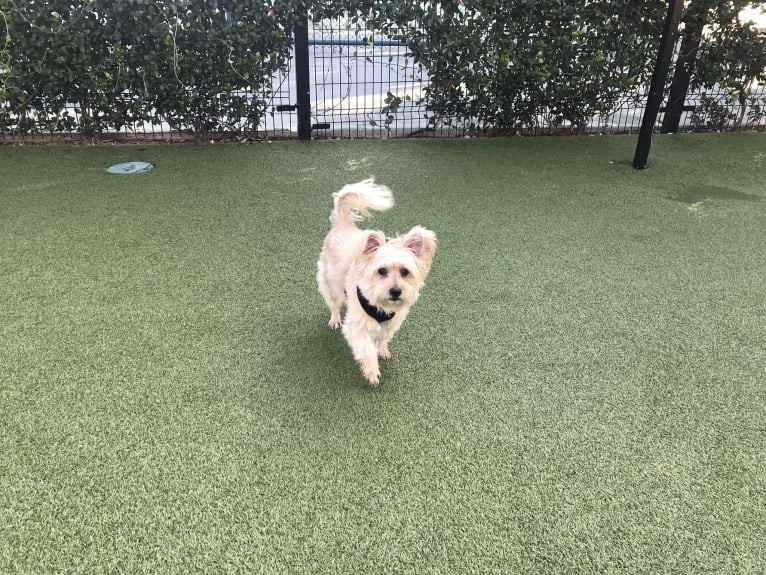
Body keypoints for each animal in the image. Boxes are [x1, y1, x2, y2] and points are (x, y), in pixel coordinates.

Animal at [318, 178, 438, 390]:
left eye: (405, 272)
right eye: (381, 271)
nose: (396, 291)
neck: (382, 306)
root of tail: (342, 224)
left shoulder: (391, 323)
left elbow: (383, 339)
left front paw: (382, 350)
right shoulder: (356, 327)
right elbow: (367, 349)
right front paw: (372, 372)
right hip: (327, 282)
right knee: (333, 303)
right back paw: (334, 319)